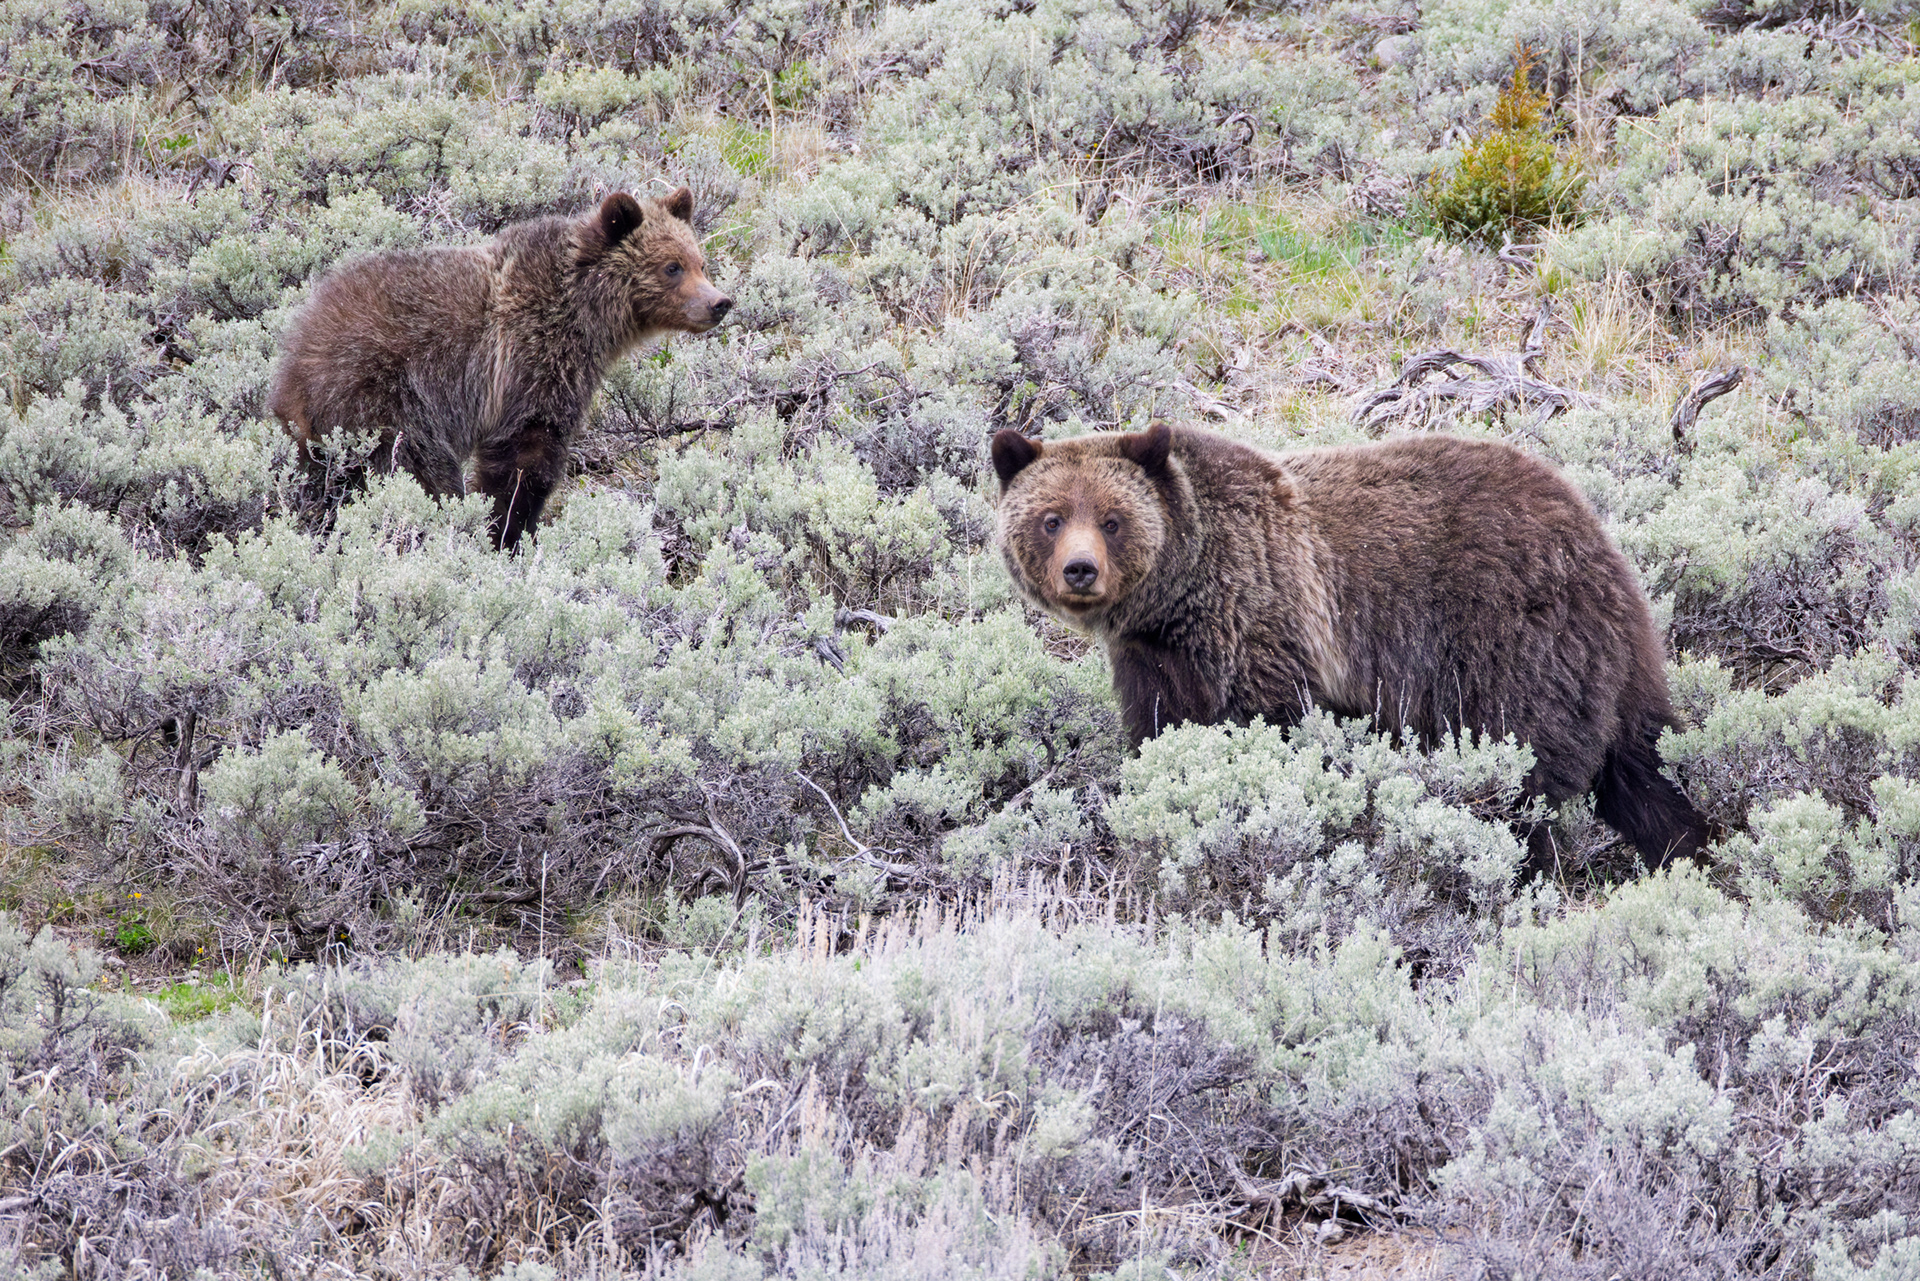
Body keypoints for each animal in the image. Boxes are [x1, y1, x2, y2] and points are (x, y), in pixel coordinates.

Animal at [269, 187, 731, 551]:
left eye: (700, 262)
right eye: (671, 267)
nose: (719, 302)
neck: (585, 315)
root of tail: (297, 356)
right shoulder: (528, 362)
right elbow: (523, 458)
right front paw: (505, 529)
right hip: (387, 399)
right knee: (417, 470)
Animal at [991, 421, 1710, 872]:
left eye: (1112, 519)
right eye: (1051, 518)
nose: (1080, 569)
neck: (1180, 596)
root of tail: (1598, 541)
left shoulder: (1268, 624)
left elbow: (1272, 728)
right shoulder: (1156, 656)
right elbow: (1161, 731)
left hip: (1511, 643)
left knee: (1524, 770)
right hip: (1613, 664)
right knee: (1645, 767)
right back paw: (1691, 850)